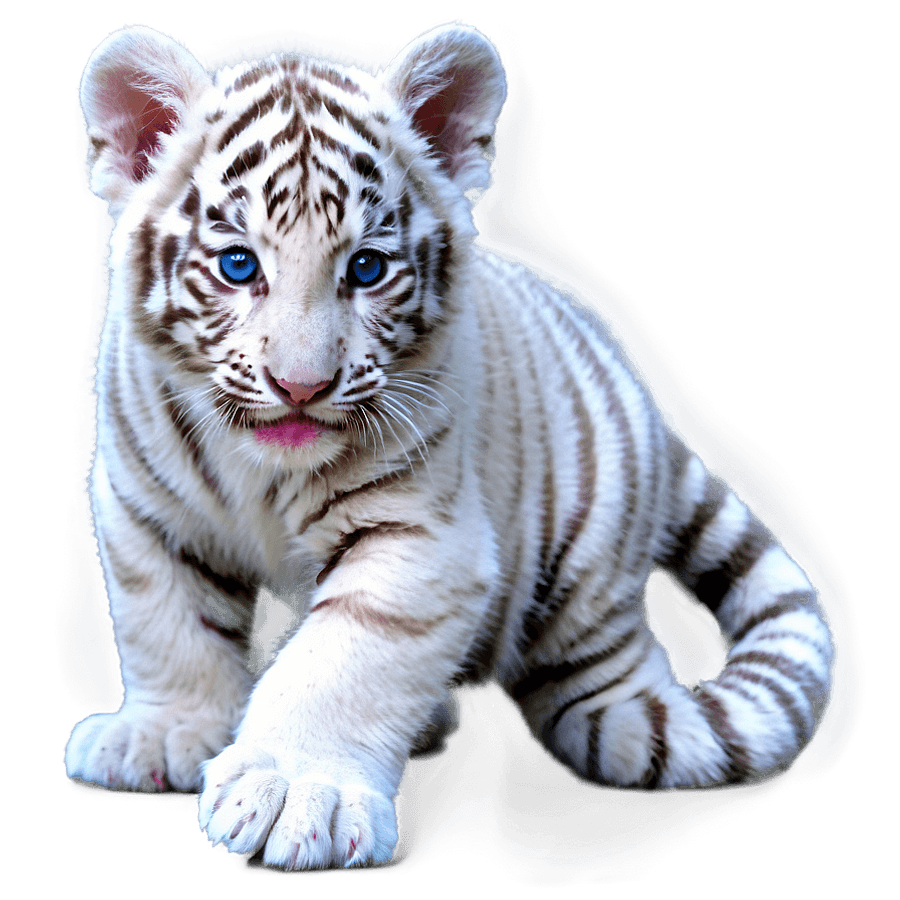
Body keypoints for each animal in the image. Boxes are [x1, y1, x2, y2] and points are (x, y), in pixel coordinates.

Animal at [63, 21, 837, 870]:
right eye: (239, 265)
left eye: (366, 268)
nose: (301, 386)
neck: (264, 475)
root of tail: (648, 396)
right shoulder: (148, 511)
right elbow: (168, 623)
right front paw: (164, 732)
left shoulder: (422, 537)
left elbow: (344, 657)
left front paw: (300, 789)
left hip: (590, 610)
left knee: (623, 712)